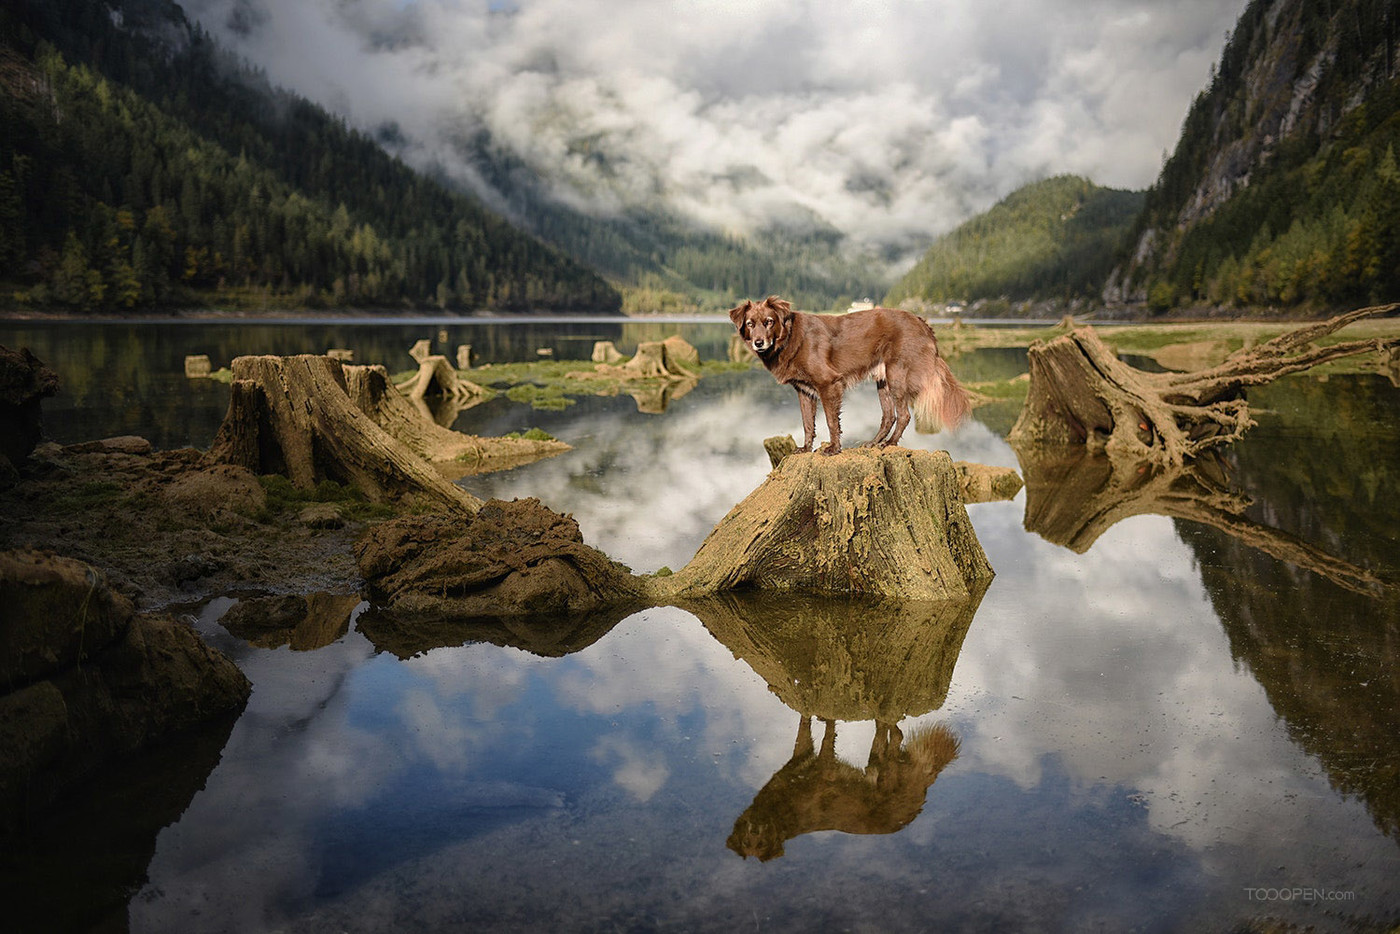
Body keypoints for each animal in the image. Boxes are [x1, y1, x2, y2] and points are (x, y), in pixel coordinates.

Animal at [728, 292, 968, 453]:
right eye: (750, 324)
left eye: (769, 322)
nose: (759, 343)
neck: (789, 337)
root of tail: (922, 322)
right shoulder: (804, 391)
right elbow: (807, 423)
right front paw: (805, 449)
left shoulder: (829, 384)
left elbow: (831, 421)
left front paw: (834, 449)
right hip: (883, 381)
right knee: (888, 416)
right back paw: (874, 443)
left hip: (897, 375)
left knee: (904, 415)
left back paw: (889, 444)